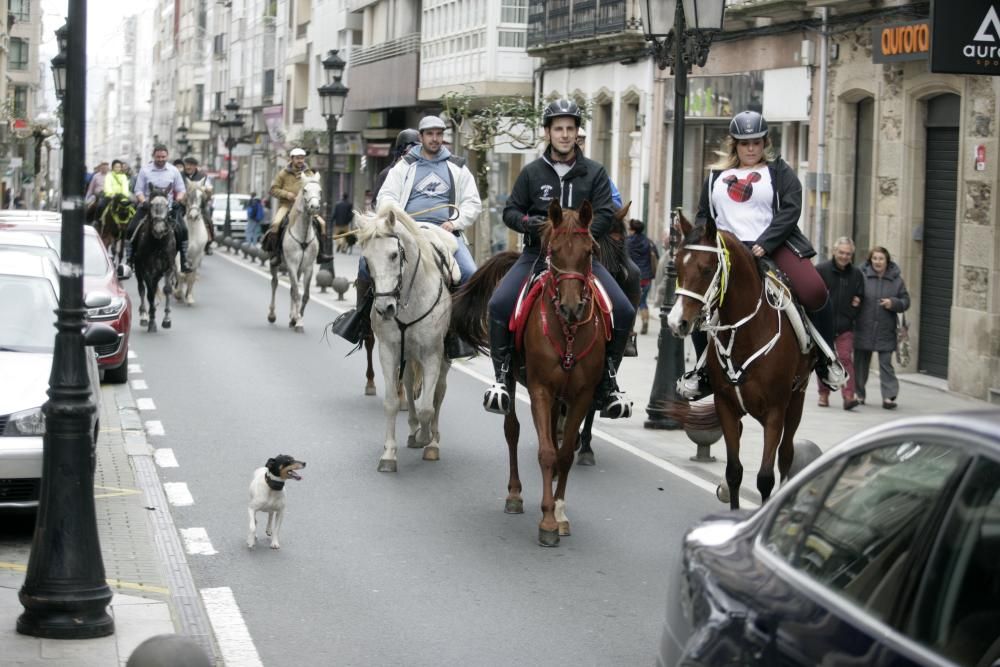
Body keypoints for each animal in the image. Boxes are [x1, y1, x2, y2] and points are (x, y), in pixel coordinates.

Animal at [134, 187, 177, 332]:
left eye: (167, 205)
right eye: (151, 204)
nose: (159, 230)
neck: (158, 244)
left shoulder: (169, 268)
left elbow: (167, 289)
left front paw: (167, 319)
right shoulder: (147, 270)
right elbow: (150, 294)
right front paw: (152, 321)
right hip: (138, 269)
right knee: (142, 289)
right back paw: (144, 316)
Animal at [268, 174, 322, 332]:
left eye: (320, 190)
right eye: (304, 190)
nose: (314, 207)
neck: (302, 235)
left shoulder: (308, 267)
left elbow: (304, 295)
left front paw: (298, 319)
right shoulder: (291, 265)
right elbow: (297, 293)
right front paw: (298, 322)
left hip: (298, 270)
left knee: (292, 288)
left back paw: (293, 317)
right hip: (275, 264)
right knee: (275, 283)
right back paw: (272, 315)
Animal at [354, 201, 458, 472]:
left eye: (394, 255)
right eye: (366, 260)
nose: (385, 309)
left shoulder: (432, 354)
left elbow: (427, 407)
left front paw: (426, 438)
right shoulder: (389, 351)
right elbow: (392, 402)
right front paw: (389, 455)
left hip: (441, 358)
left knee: (439, 392)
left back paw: (432, 440)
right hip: (408, 355)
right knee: (410, 385)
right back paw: (412, 430)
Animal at [456, 200, 608, 548]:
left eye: (589, 252)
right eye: (553, 251)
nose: (570, 308)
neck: (567, 332)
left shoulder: (581, 395)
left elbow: (564, 454)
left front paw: (559, 513)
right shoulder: (540, 389)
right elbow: (547, 452)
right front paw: (548, 521)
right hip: (513, 380)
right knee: (512, 430)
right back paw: (515, 495)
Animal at [664, 214, 812, 512]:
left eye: (706, 269)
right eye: (678, 265)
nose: (675, 323)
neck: (745, 333)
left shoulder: (775, 411)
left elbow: (765, 477)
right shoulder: (726, 406)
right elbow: (734, 471)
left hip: (796, 399)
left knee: (787, 454)